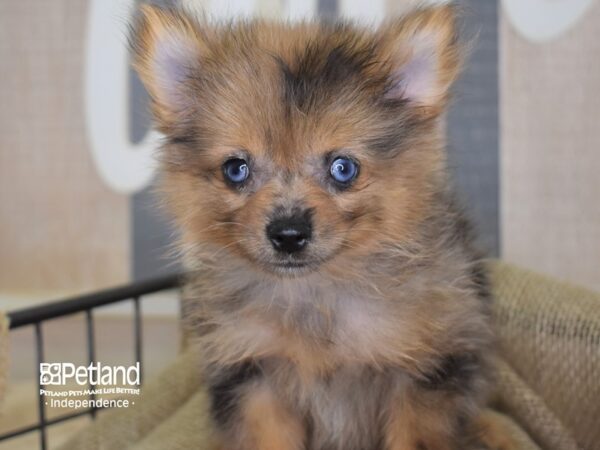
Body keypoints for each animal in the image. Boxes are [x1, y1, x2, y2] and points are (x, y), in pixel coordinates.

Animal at [131, 4, 492, 450]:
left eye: (343, 168)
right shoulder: (256, 375)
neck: (313, 296)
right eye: (236, 169)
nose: (288, 233)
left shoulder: (426, 370)